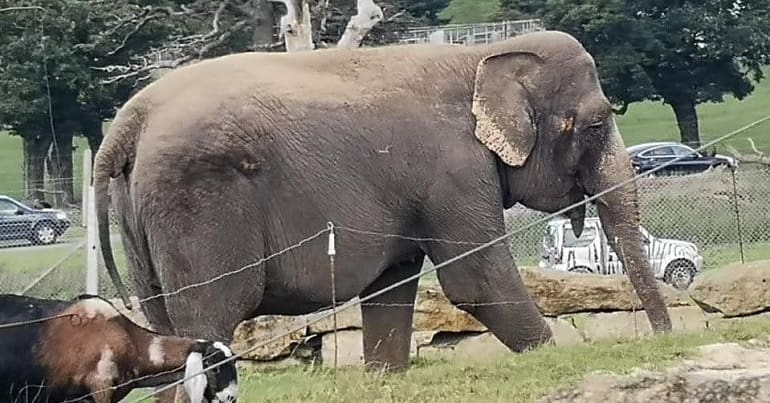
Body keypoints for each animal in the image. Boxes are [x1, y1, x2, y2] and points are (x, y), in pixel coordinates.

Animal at [94, 30, 672, 374]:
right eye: (596, 124)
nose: (663, 340)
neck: (477, 58)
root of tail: (125, 126)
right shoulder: (454, 172)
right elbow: (476, 281)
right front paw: (551, 357)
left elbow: (391, 288)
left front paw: (385, 377)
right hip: (196, 202)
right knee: (206, 322)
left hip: (141, 218)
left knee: (162, 326)